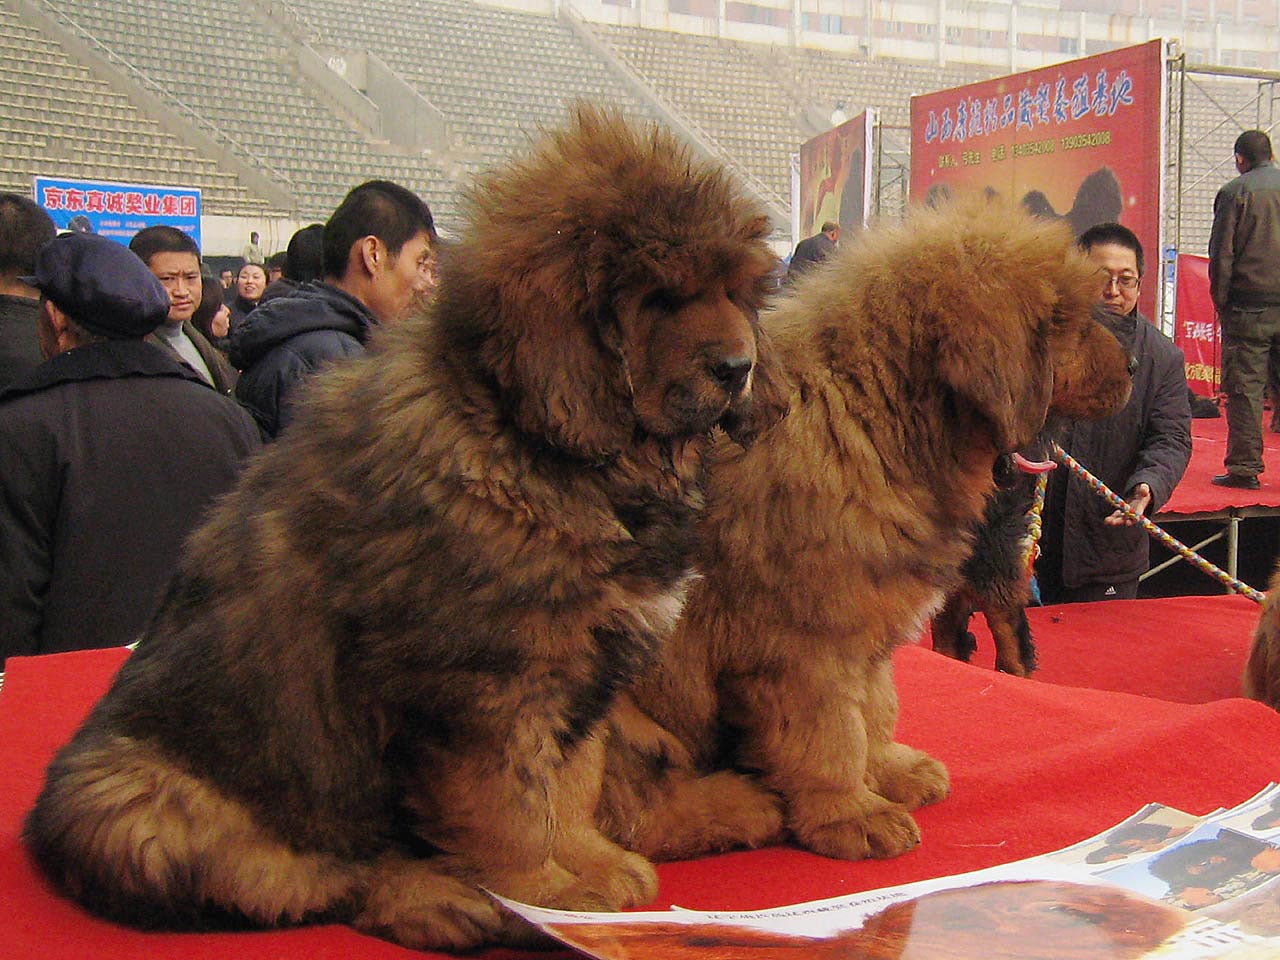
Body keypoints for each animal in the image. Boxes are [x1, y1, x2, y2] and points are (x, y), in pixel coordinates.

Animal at [20, 106, 783, 957]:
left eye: (733, 292)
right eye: (659, 297)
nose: (739, 366)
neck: (535, 444)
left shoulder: (580, 666)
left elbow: (571, 781)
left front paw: (587, 864)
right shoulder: (482, 684)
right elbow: (511, 807)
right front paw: (548, 896)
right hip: (131, 805)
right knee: (299, 876)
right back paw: (438, 901)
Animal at [599, 195, 1131, 865]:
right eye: (1073, 323)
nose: (1135, 364)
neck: (872, 410)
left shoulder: (869, 617)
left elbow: (875, 706)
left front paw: (889, 771)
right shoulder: (804, 636)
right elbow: (828, 733)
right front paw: (851, 814)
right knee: (628, 810)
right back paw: (739, 807)